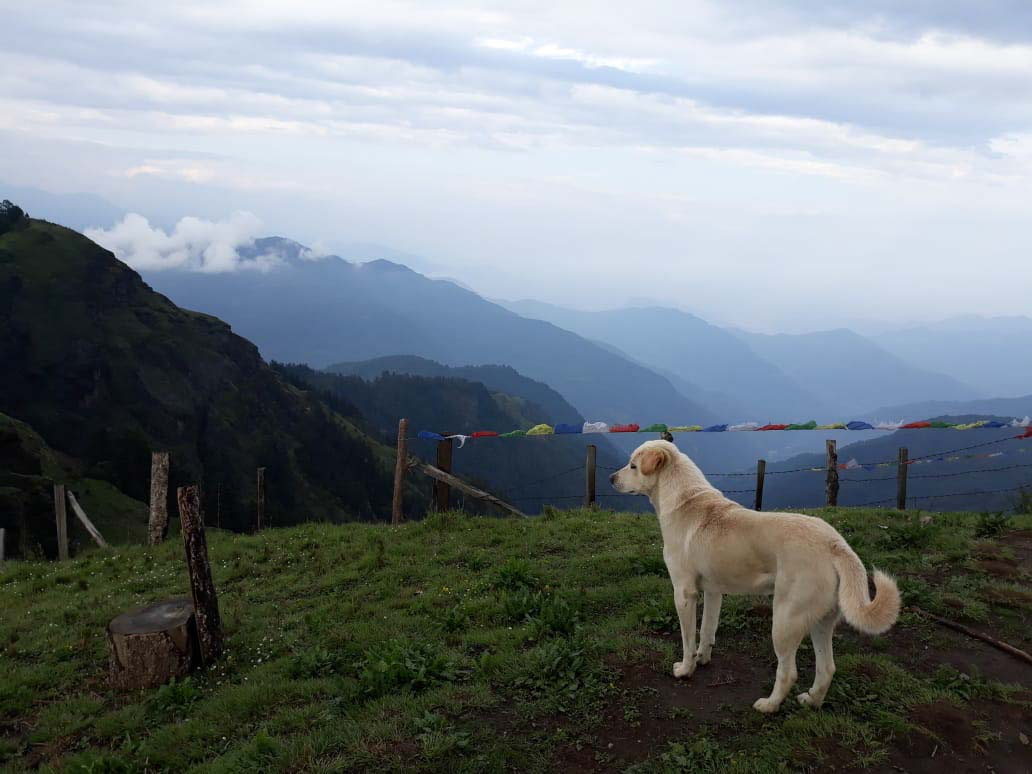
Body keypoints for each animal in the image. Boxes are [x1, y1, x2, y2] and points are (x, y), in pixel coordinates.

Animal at [606, 441, 899, 714]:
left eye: (633, 466)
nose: (610, 478)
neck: (686, 499)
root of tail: (835, 543)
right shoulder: (713, 592)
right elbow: (707, 630)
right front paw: (702, 659)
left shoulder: (684, 593)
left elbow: (688, 638)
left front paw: (686, 669)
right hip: (820, 621)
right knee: (827, 669)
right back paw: (811, 701)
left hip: (784, 621)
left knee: (788, 672)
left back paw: (769, 705)